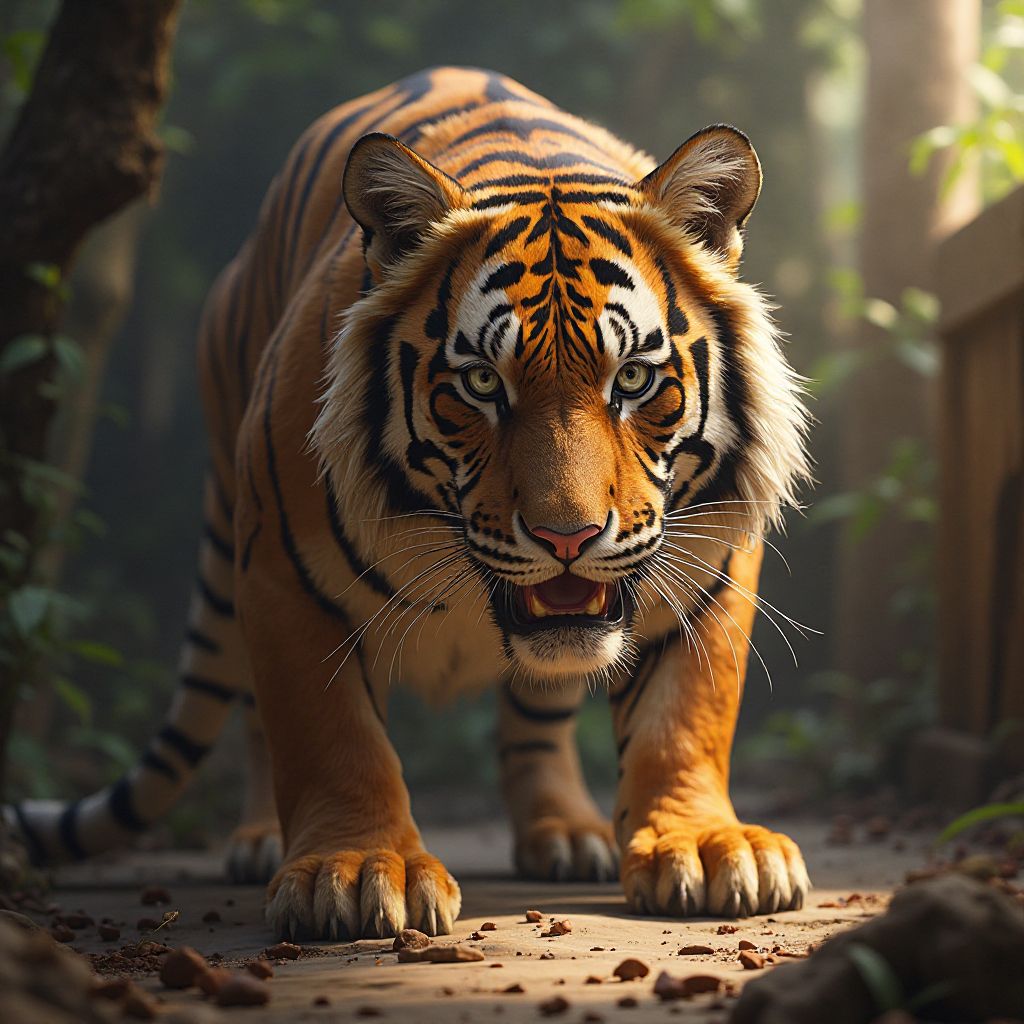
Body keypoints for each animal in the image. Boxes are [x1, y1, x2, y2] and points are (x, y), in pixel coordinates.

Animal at [6, 66, 811, 939]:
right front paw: (356, 869)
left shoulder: (711, 558)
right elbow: (329, 731)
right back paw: (261, 839)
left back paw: (566, 831)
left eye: (632, 378)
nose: (567, 538)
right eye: (482, 383)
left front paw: (704, 846)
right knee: (255, 718)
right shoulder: (283, 574)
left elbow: (686, 712)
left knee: (541, 708)